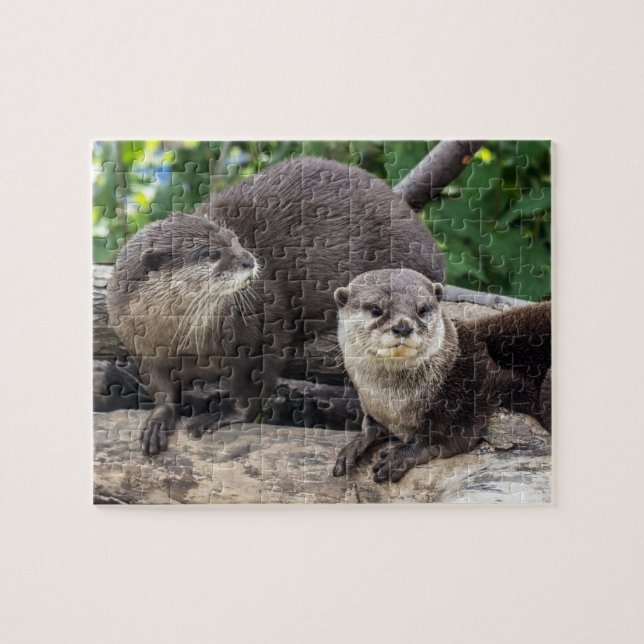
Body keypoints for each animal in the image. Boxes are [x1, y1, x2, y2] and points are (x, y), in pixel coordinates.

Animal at [107, 157, 446, 455]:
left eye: (234, 239)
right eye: (211, 254)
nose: (249, 259)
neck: (185, 340)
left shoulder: (257, 332)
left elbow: (252, 385)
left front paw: (223, 415)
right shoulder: (142, 347)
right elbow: (160, 388)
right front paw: (158, 420)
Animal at [332, 269, 550, 483]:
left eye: (422, 309)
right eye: (376, 309)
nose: (403, 326)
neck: (395, 402)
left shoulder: (473, 382)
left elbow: (444, 432)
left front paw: (403, 454)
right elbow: (370, 425)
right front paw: (356, 443)